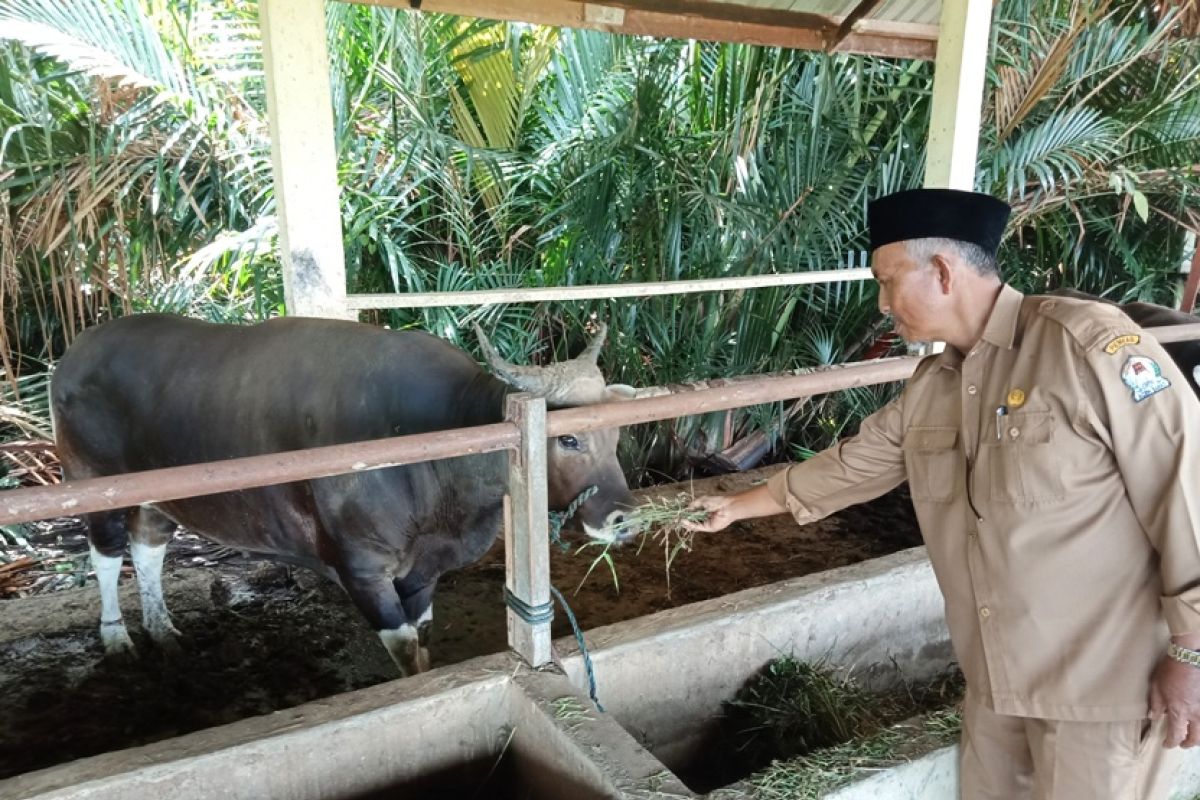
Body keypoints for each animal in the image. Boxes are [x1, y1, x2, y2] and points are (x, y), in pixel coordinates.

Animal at [51, 314, 638, 676]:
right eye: (568, 438)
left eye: (616, 433)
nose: (624, 518)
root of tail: (73, 354)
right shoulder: (363, 570)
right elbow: (406, 653)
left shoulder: (424, 571)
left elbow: (423, 639)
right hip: (90, 484)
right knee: (106, 554)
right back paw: (118, 641)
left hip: (158, 500)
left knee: (148, 548)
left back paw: (163, 631)